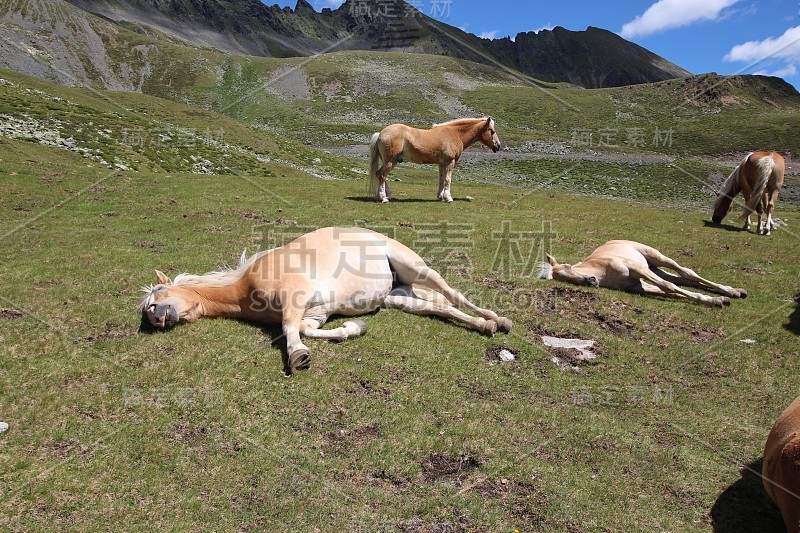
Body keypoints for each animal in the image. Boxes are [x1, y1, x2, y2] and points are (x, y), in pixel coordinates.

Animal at [140, 227, 510, 372]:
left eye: (157, 296)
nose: (157, 319)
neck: (245, 287)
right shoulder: (315, 314)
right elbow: (308, 329)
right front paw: (354, 328)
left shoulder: (294, 298)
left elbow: (292, 331)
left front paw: (298, 357)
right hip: (399, 297)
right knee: (441, 307)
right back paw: (486, 326)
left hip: (416, 268)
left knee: (452, 294)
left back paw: (498, 318)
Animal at [368, 117, 500, 203]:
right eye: (492, 131)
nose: (498, 146)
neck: (455, 134)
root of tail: (381, 134)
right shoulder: (450, 162)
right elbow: (447, 180)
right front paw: (448, 198)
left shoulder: (442, 164)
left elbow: (441, 179)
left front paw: (441, 197)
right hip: (390, 161)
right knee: (381, 175)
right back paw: (384, 198)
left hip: (392, 161)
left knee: (381, 175)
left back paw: (387, 195)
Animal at [540, 239, 748, 306]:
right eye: (565, 281)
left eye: (568, 266)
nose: (591, 281)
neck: (602, 272)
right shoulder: (637, 286)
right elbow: (670, 290)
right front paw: (716, 300)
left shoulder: (637, 270)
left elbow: (668, 286)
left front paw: (717, 300)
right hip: (654, 269)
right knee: (684, 280)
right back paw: (733, 292)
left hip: (655, 258)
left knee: (687, 273)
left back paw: (732, 291)